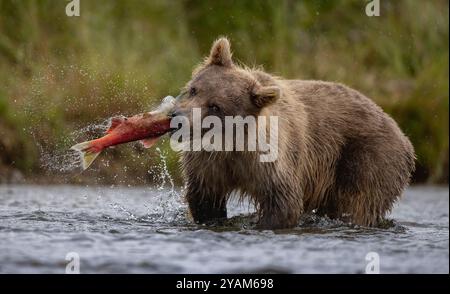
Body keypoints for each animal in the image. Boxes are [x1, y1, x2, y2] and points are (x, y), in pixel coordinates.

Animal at [169, 37, 414, 230]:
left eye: (215, 106)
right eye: (194, 89)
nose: (177, 117)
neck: (231, 143)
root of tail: (403, 136)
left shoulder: (271, 161)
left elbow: (283, 201)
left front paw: (264, 223)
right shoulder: (209, 161)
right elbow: (205, 197)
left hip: (369, 156)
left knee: (357, 202)